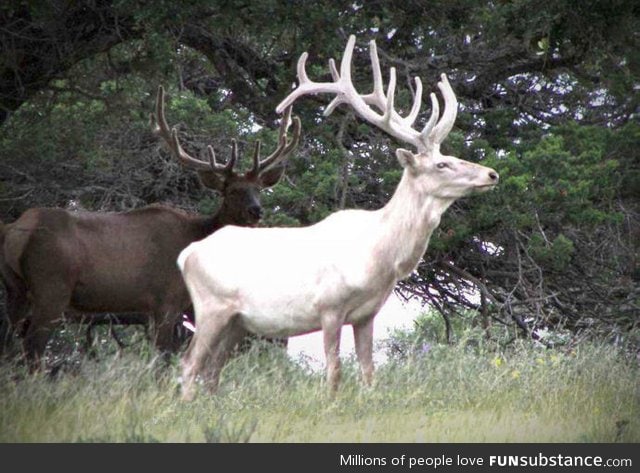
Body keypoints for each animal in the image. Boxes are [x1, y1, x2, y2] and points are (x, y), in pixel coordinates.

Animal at [0, 85, 300, 366]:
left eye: (259, 189)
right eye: (233, 191)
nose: (256, 211)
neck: (197, 239)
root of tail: (17, 231)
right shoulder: (167, 300)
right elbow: (164, 358)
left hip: (15, 289)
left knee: (9, 344)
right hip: (52, 285)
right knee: (32, 349)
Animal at [176, 34, 500, 398]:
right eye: (442, 164)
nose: (491, 174)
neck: (379, 258)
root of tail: (186, 255)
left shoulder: (367, 314)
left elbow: (369, 372)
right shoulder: (329, 306)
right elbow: (334, 372)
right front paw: (330, 403)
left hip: (237, 320)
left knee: (211, 370)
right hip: (211, 308)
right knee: (189, 364)